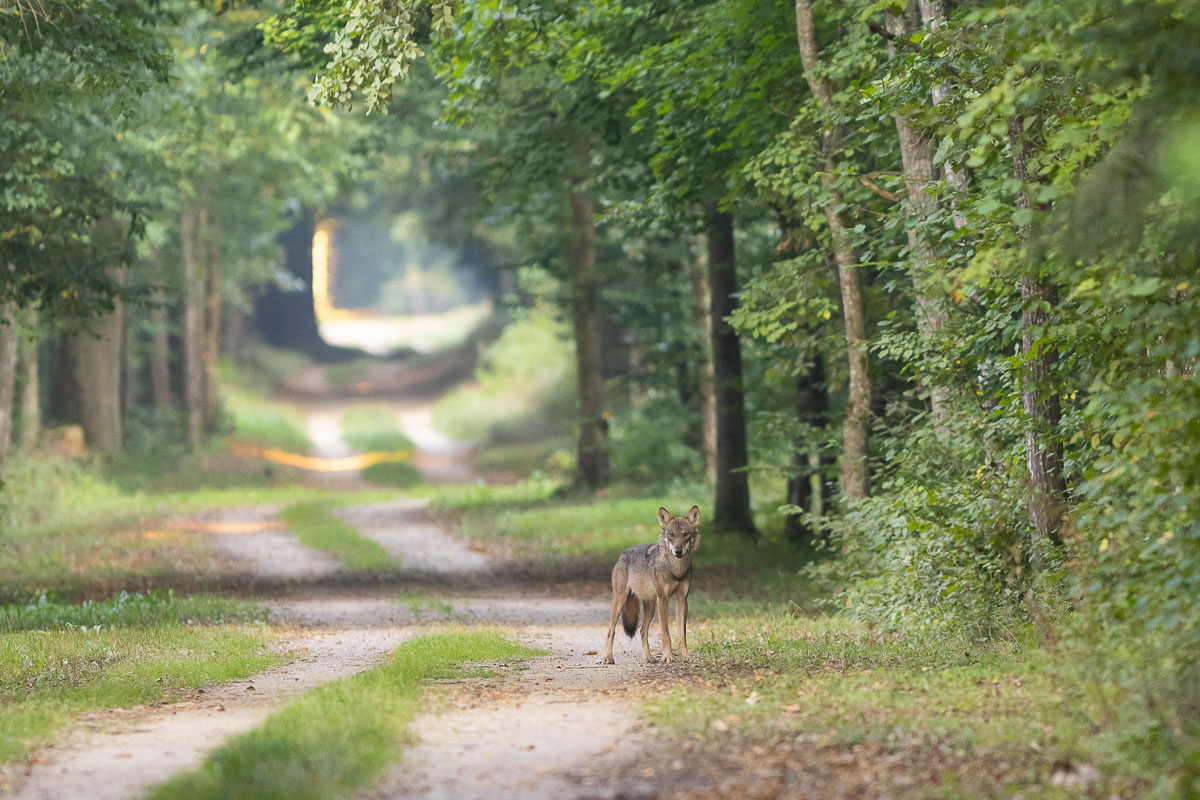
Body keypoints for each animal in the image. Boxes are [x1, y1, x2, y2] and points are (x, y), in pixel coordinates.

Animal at [600, 506, 700, 662]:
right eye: (671, 534)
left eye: (686, 534)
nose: (678, 551)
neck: (675, 569)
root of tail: (623, 554)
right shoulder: (663, 600)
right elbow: (666, 633)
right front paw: (667, 656)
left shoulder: (682, 600)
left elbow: (682, 635)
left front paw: (686, 656)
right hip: (620, 601)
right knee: (611, 630)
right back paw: (608, 658)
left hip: (651, 607)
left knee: (642, 630)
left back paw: (649, 658)